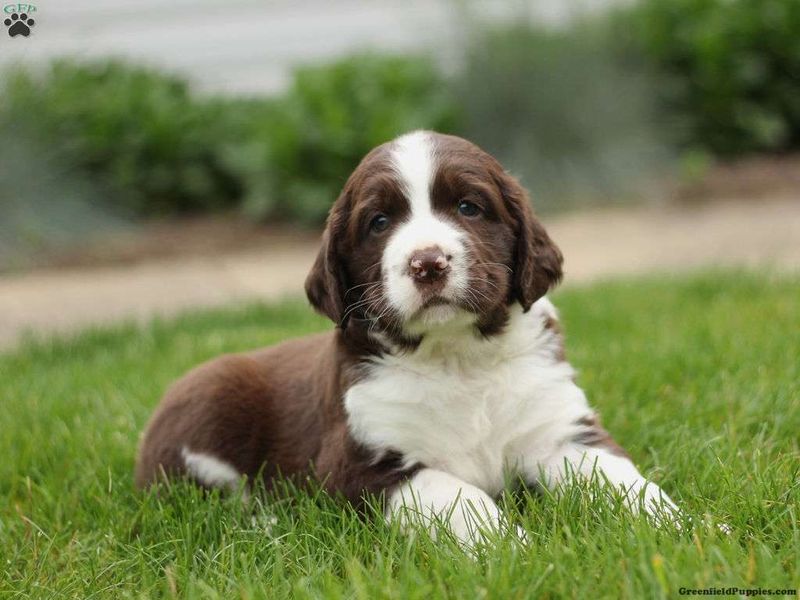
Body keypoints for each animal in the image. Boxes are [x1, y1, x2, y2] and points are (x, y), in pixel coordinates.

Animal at [136, 134, 676, 548]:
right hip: (208, 398)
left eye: (469, 207)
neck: (458, 358)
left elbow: (625, 482)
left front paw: (681, 530)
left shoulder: (561, 432)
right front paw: (517, 550)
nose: (428, 263)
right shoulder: (363, 465)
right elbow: (460, 497)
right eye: (378, 223)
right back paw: (268, 523)